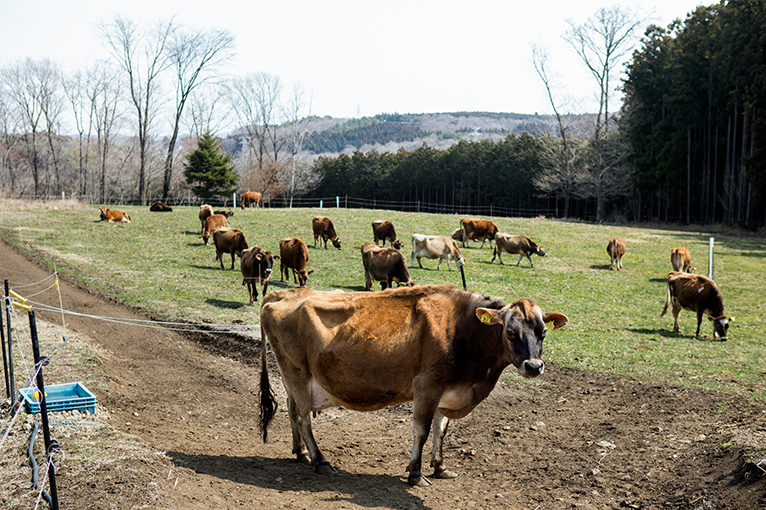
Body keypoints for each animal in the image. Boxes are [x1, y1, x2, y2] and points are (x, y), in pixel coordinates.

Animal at [260, 284, 568, 488]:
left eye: (542, 333)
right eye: (510, 332)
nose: (534, 366)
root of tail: (280, 294)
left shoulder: (447, 390)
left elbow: (441, 431)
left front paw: (440, 467)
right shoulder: (427, 386)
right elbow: (421, 430)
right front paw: (415, 473)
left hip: (293, 376)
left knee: (291, 409)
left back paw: (301, 453)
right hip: (296, 371)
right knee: (303, 417)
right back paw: (320, 460)